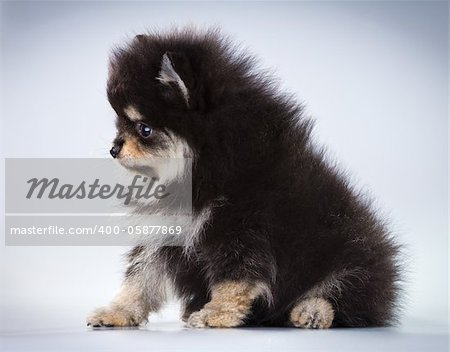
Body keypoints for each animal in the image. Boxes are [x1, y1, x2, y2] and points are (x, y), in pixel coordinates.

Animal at [86, 28, 402, 328]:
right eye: (119, 124)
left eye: (144, 129)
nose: (113, 149)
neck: (206, 166)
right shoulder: (166, 231)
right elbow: (141, 278)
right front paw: (118, 311)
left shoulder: (242, 228)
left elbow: (235, 277)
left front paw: (217, 314)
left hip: (352, 255)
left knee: (344, 295)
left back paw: (312, 310)